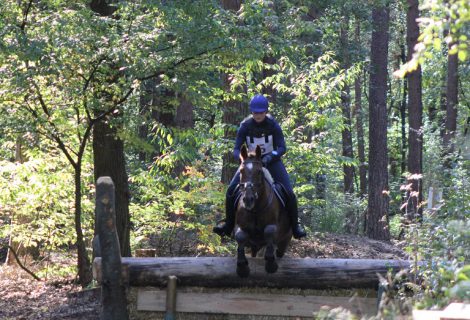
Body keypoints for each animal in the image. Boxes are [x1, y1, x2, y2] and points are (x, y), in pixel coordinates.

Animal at [233, 144, 292, 276]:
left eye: (259, 171)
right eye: (241, 171)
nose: (248, 199)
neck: (255, 209)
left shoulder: (274, 226)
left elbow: (269, 231)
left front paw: (271, 264)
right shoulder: (240, 226)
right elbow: (240, 237)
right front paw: (242, 266)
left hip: (285, 239)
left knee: (279, 251)